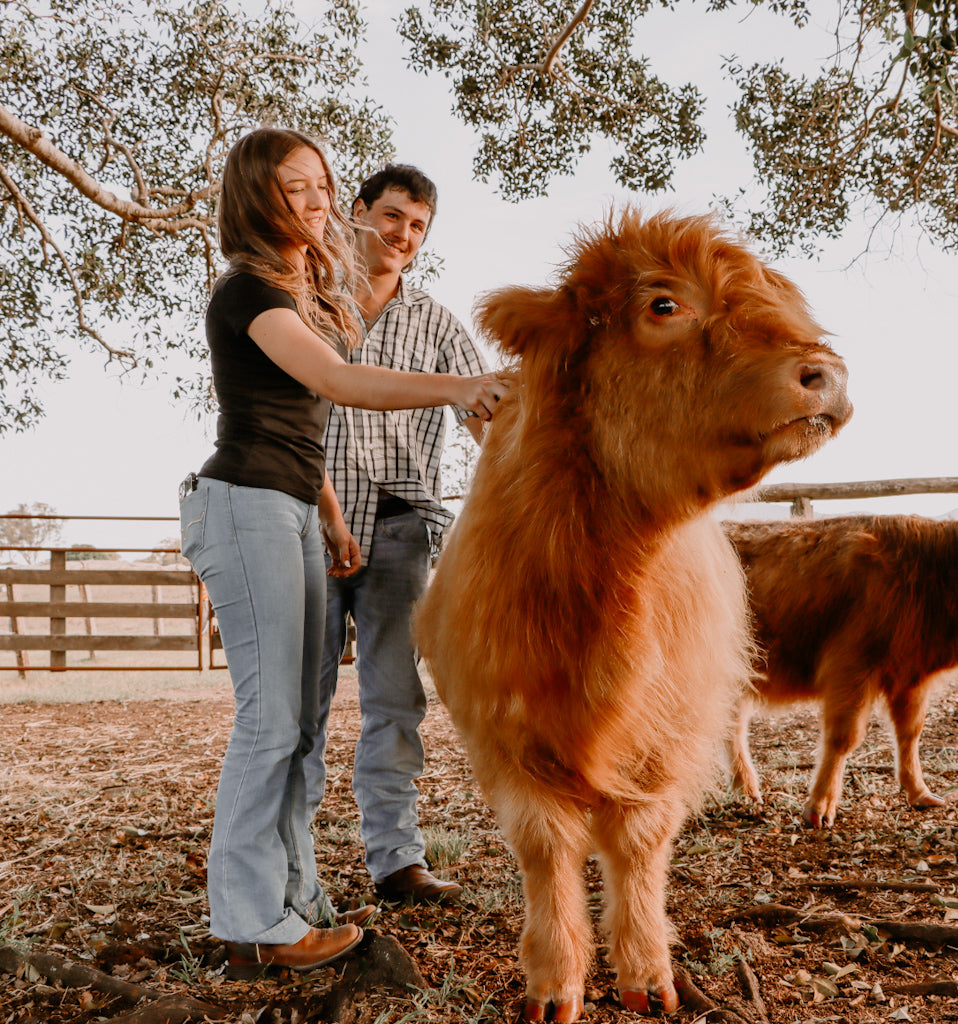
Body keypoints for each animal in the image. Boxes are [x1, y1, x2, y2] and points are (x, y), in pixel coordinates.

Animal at [415, 209, 847, 1024]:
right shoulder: (502, 734)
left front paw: (648, 973)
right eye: (663, 304)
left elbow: (640, 847)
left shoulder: (669, 734)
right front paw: (555, 982)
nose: (828, 375)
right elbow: (547, 849)